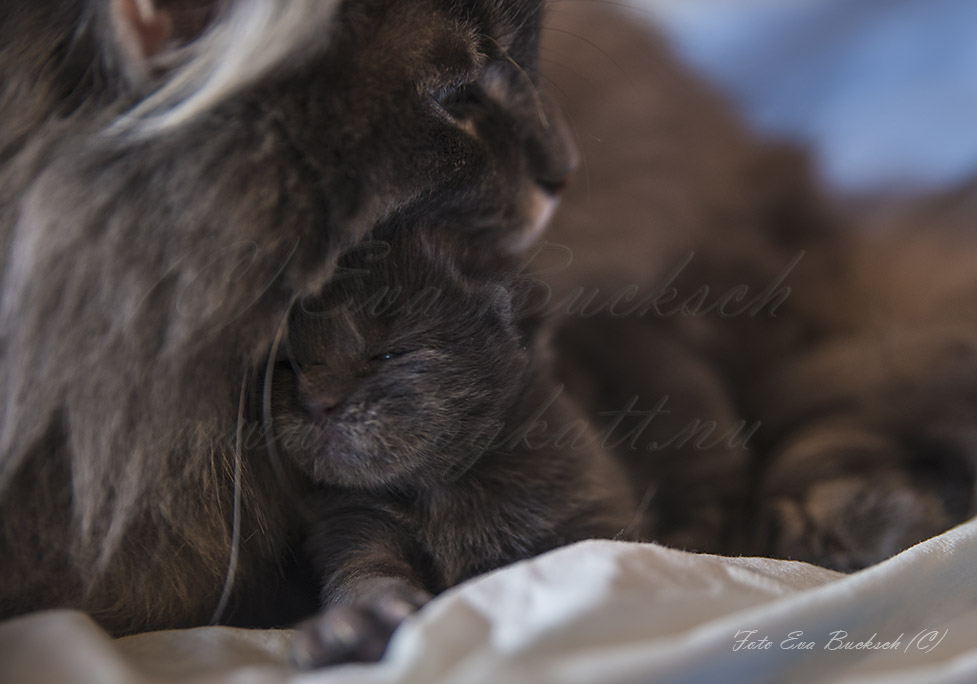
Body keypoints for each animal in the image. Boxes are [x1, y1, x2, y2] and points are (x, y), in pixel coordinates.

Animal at [264, 227, 636, 664]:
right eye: (290, 365)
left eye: (389, 354)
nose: (316, 403)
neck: (442, 492)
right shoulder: (354, 526)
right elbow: (364, 574)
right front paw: (354, 627)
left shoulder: (590, 516)